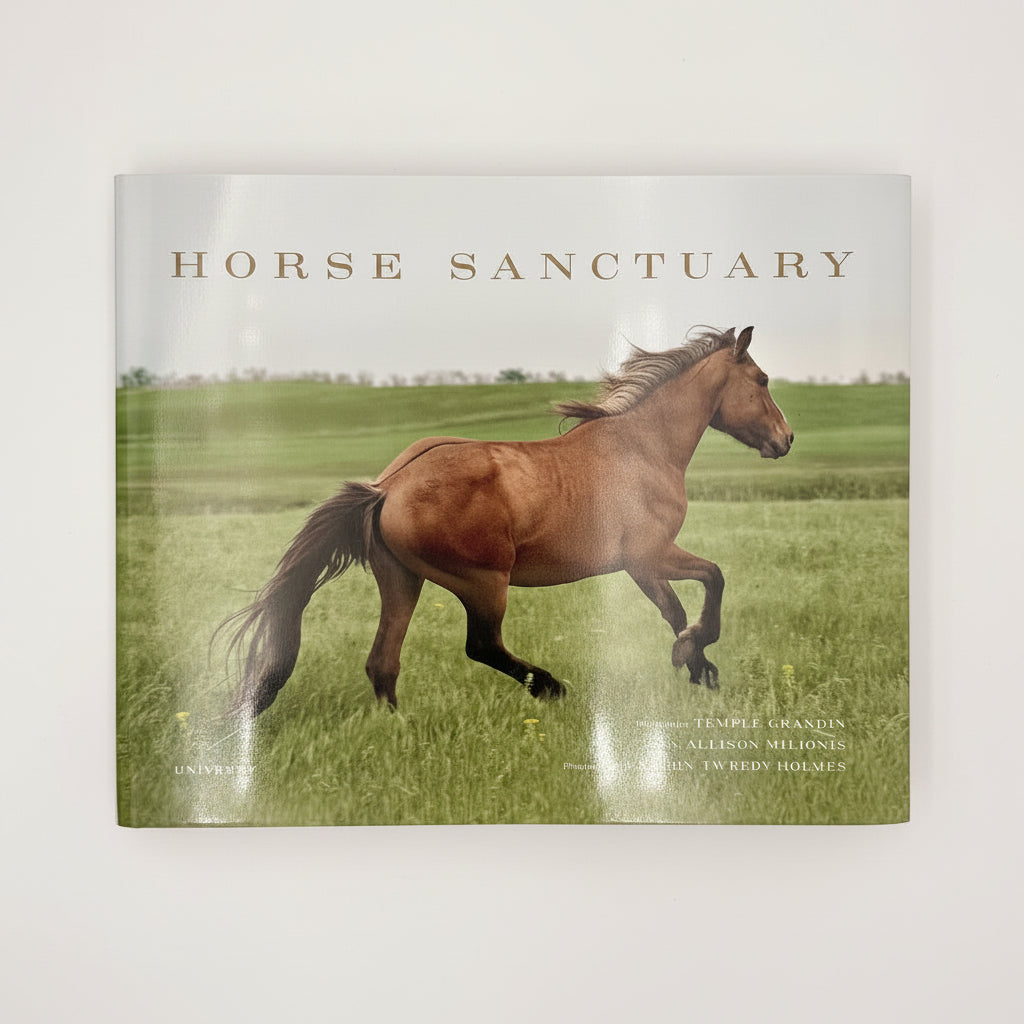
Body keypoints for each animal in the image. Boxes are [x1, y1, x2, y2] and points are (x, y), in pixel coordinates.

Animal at [221, 325, 793, 717]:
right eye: (762, 379)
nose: (786, 440)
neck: (642, 449)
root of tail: (386, 489)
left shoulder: (641, 566)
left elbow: (675, 611)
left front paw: (700, 668)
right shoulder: (650, 555)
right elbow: (711, 582)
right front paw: (695, 656)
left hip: (401, 580)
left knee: (383, 661)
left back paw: (400, 727)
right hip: (483, 582)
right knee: (482, 646)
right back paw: (551, 687)